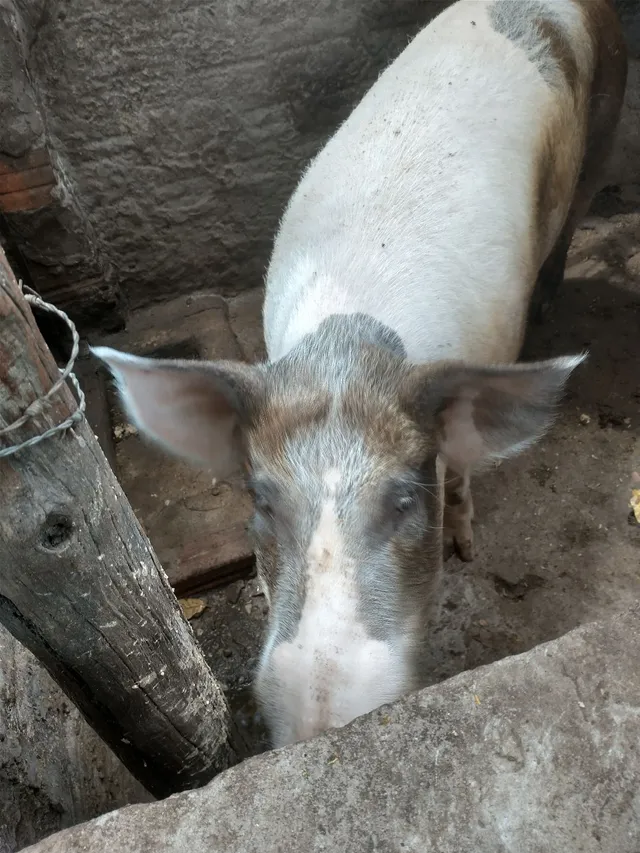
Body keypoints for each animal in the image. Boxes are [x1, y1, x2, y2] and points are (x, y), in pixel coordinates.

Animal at [94, 0, 627, 748]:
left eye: (404, 498)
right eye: (261, 500)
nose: (324, 725)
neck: (347, 350)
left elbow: (464, 475)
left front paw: (465, 548)